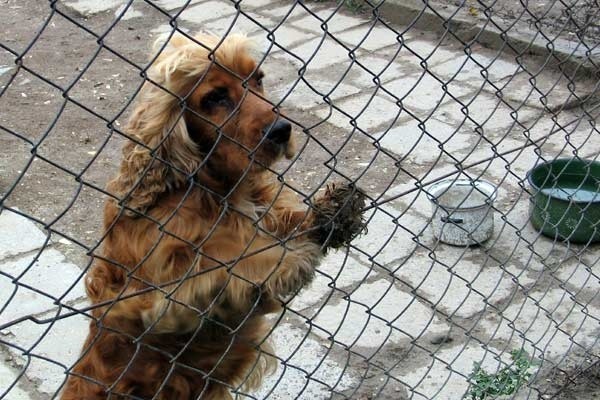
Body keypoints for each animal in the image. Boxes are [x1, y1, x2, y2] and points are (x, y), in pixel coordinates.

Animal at [63, 32, 368, 398]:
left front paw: (334, 210)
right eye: (216, 97)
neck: (222, 189)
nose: (282, 130)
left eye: (258, 79)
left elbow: (282, 223)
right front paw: (286, 259)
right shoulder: (158, 285)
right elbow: (222, 258)